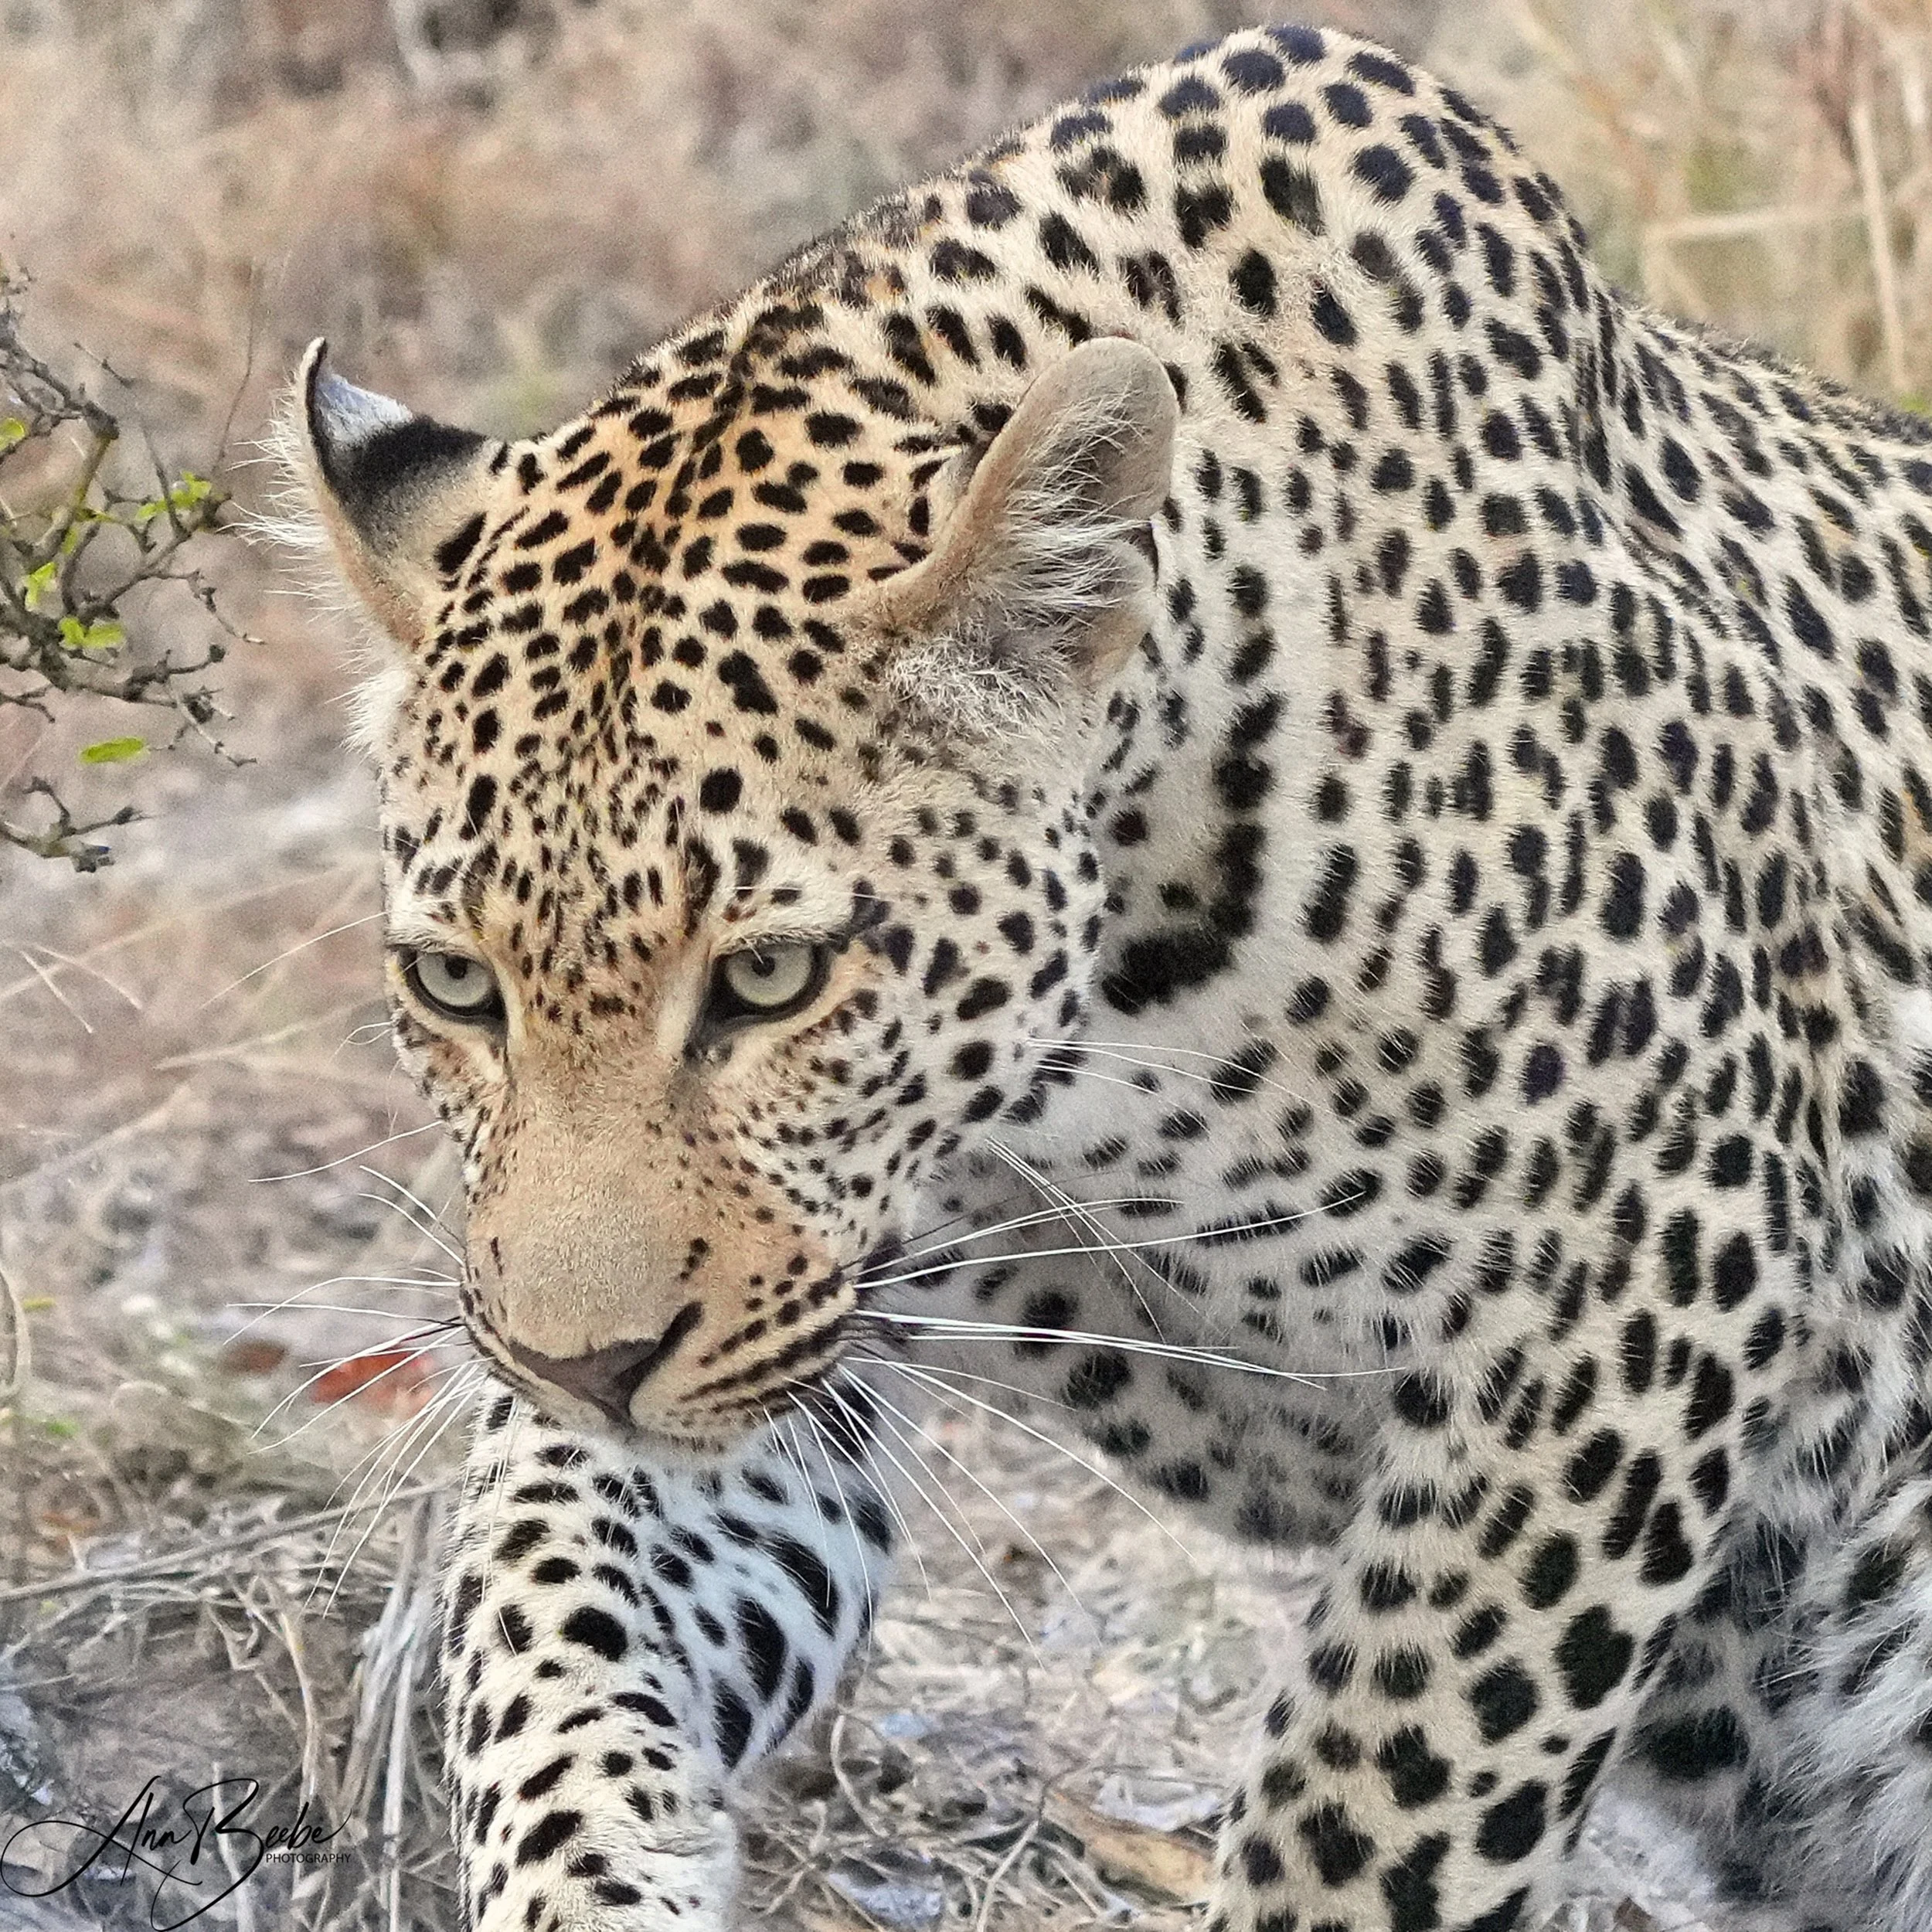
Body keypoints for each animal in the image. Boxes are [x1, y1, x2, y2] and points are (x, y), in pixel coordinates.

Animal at [277, 20, 1932, 1932]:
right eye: (455, 985)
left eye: (770, 977)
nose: (586, 1361)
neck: (1088, 1049)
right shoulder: (778, 1331)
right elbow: (548, 1615)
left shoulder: (1642, 1259)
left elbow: (1383, 1788)